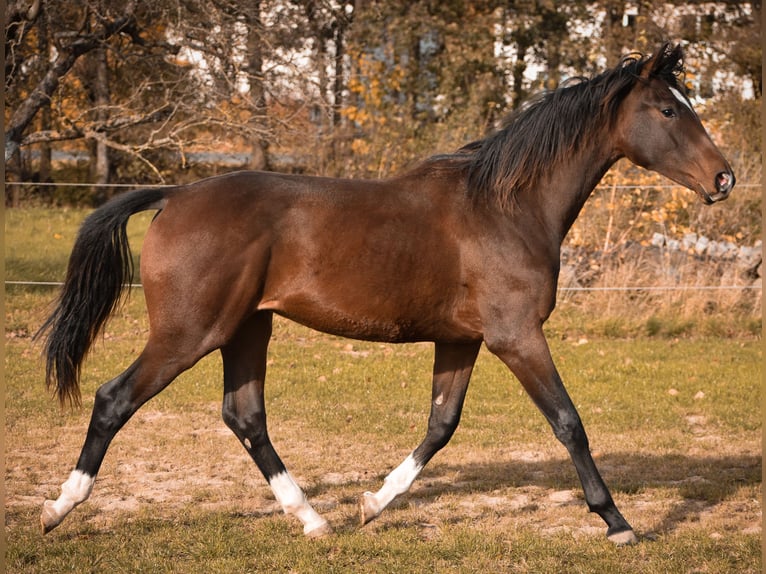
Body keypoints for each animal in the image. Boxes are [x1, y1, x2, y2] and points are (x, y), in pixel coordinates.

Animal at [37, 44, 734, 545]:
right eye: (668, 110)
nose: (724, 178)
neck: (506, 207)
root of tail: (174, 196)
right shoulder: (516, 336)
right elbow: (568, 422)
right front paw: (617, 523)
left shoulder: (462, 341)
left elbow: (441, 426)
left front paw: (372, 504)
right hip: (189, 333)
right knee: (114, 399)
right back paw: (57, 509)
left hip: (247, 329)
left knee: (245, 417)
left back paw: (314, 520)